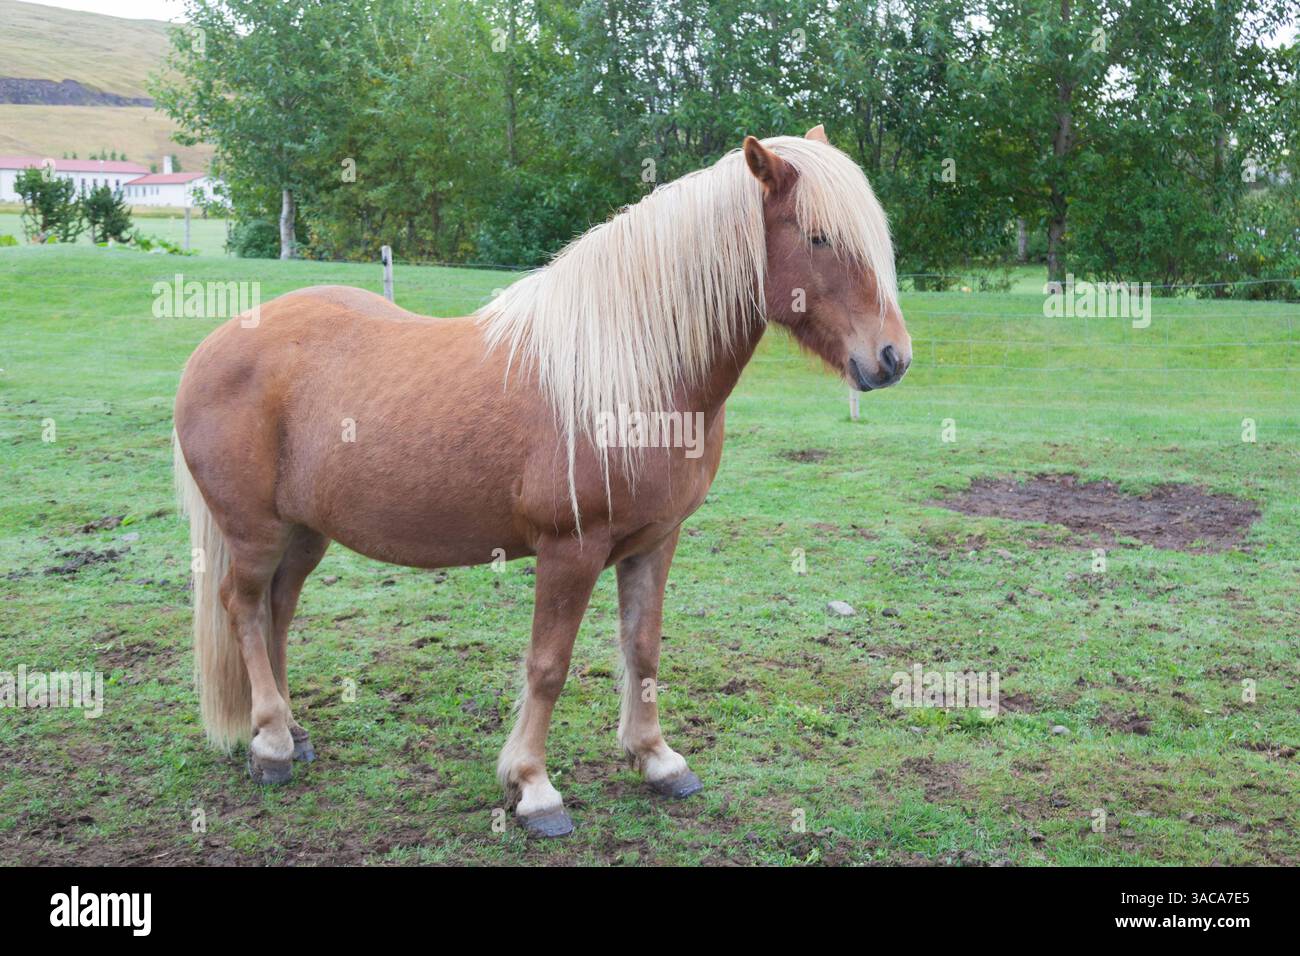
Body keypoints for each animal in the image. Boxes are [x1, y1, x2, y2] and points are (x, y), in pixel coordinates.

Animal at [172, 125, 912, 837]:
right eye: (817, 237)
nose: (892, 358)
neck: (635, 375)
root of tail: (215, 344)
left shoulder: (656, 541)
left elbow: (643, 649)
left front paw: (658, 760)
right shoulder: (569, 550)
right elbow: (548, 667)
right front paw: (533, 788)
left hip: (304, 533)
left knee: (278, 609)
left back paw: (291, 731)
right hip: (254, 531)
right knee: (244, 607)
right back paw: (271, 743)